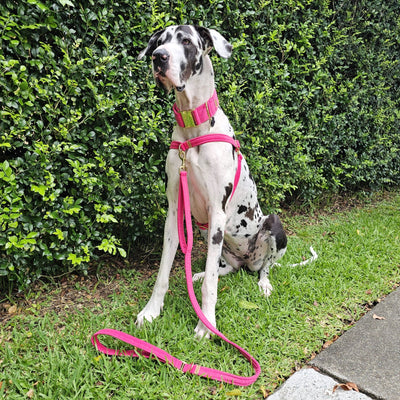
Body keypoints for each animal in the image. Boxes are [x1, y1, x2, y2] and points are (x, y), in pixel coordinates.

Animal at [137, 25, 288, 338]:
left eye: (186, 41)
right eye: (159, 42)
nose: (159, 57)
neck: (193, 126)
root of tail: (247, 261)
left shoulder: (218, 211)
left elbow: (211, 287)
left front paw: (206, 323)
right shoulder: (175, 211)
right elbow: (163, 271)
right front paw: (151, 311)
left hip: (271, 225)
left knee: (265, 266)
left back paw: (264, 283)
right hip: (206, 231)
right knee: (221, 269)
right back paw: (203, 272)